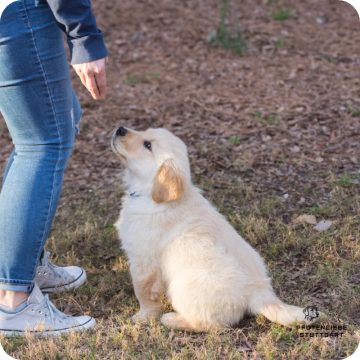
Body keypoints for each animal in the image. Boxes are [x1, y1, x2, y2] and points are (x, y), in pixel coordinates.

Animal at [111, 126, 316, 332]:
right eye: (146, 131)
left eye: (148, 145)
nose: (120, 129)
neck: (150, 195)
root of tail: (260, 292)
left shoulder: (144, 261)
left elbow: (144, 293)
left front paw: (143, 317)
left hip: (183, 288)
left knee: (210, 324)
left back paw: (173, 320)